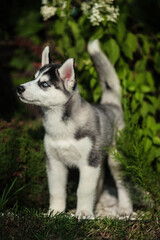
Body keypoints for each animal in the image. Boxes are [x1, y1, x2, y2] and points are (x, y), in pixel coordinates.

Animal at [17, 40, 132, 218]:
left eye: (44, 84)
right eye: (34, 78)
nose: (19, 88)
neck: (60, 127)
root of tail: (110, 104)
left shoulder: (88, 164)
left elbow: (83, 190)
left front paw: (83, 213)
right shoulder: (54, 163)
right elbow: (56, 191)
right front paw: (55, 212)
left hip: (115, 159)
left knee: (122, 184)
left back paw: (125, 209)